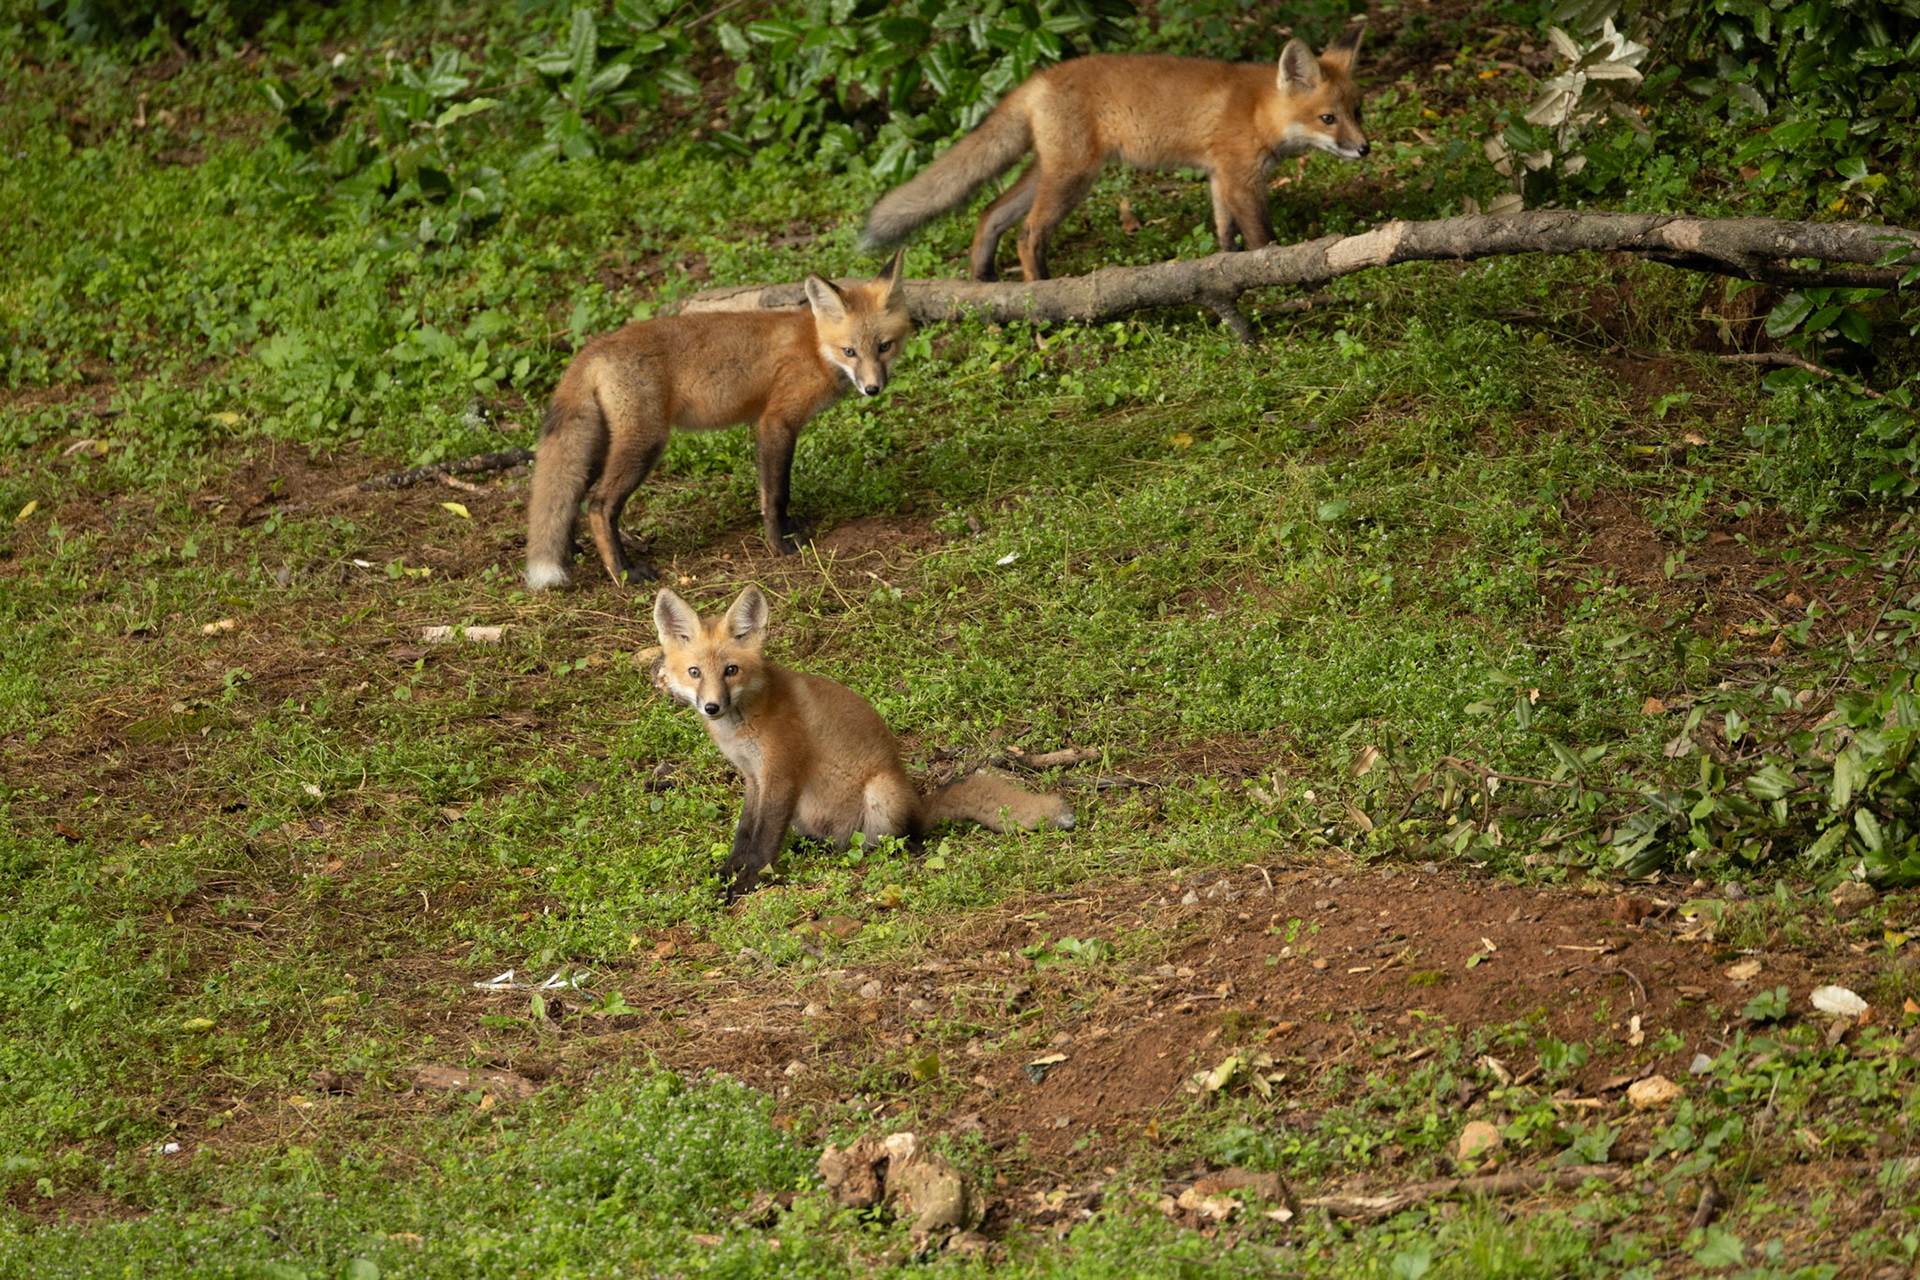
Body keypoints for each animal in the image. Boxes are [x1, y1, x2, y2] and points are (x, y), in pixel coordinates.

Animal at [524, 250, 912, 591]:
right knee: (599, 505)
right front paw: (779, 543)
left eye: (884, 346)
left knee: (572, 495)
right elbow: (776, 493)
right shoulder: (776, 420)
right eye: (850, 351)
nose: (873, 388)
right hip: (644, 444)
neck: (817, 348)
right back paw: (623, 572)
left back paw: (571, 553)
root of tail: (594, 347)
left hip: (600, 446)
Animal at [653, 584, 1076, 900]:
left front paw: (746, 884)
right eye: (694, 672)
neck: (743, 724)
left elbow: (763, 841)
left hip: (880, 792)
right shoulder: (754, 778)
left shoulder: (781, 774)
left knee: (902, 838)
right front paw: (727, 872)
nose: (711, 706)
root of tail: (919, 804)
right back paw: (817, 847)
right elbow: (744, 834)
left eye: (731, 670)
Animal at [860, 27, 1369, 282]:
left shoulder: (1219, 177)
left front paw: (1224, 271)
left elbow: (1226, 236)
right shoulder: (1240, 178)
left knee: (989, 213)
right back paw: (1042, 299)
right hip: (1074, 177)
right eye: (1328, 119)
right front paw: (1275, 276)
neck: (1258, 110)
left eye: (1357, 111)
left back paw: (984, 286)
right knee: (1027, 234)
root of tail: (1039, 76)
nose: (1365, 148)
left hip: (1049, 171)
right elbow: (1262, 240)